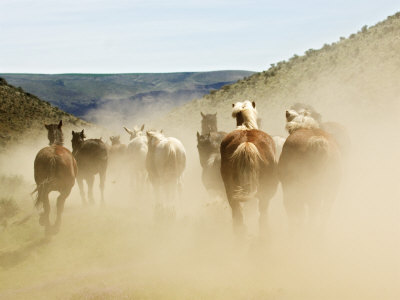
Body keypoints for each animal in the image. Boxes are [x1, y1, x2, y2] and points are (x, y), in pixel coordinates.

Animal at [219, 101, 278, 237]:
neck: (246, 126)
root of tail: (247, 143)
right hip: (266, 191)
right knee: (262, 214)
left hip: (231, 191)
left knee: (237, 214)